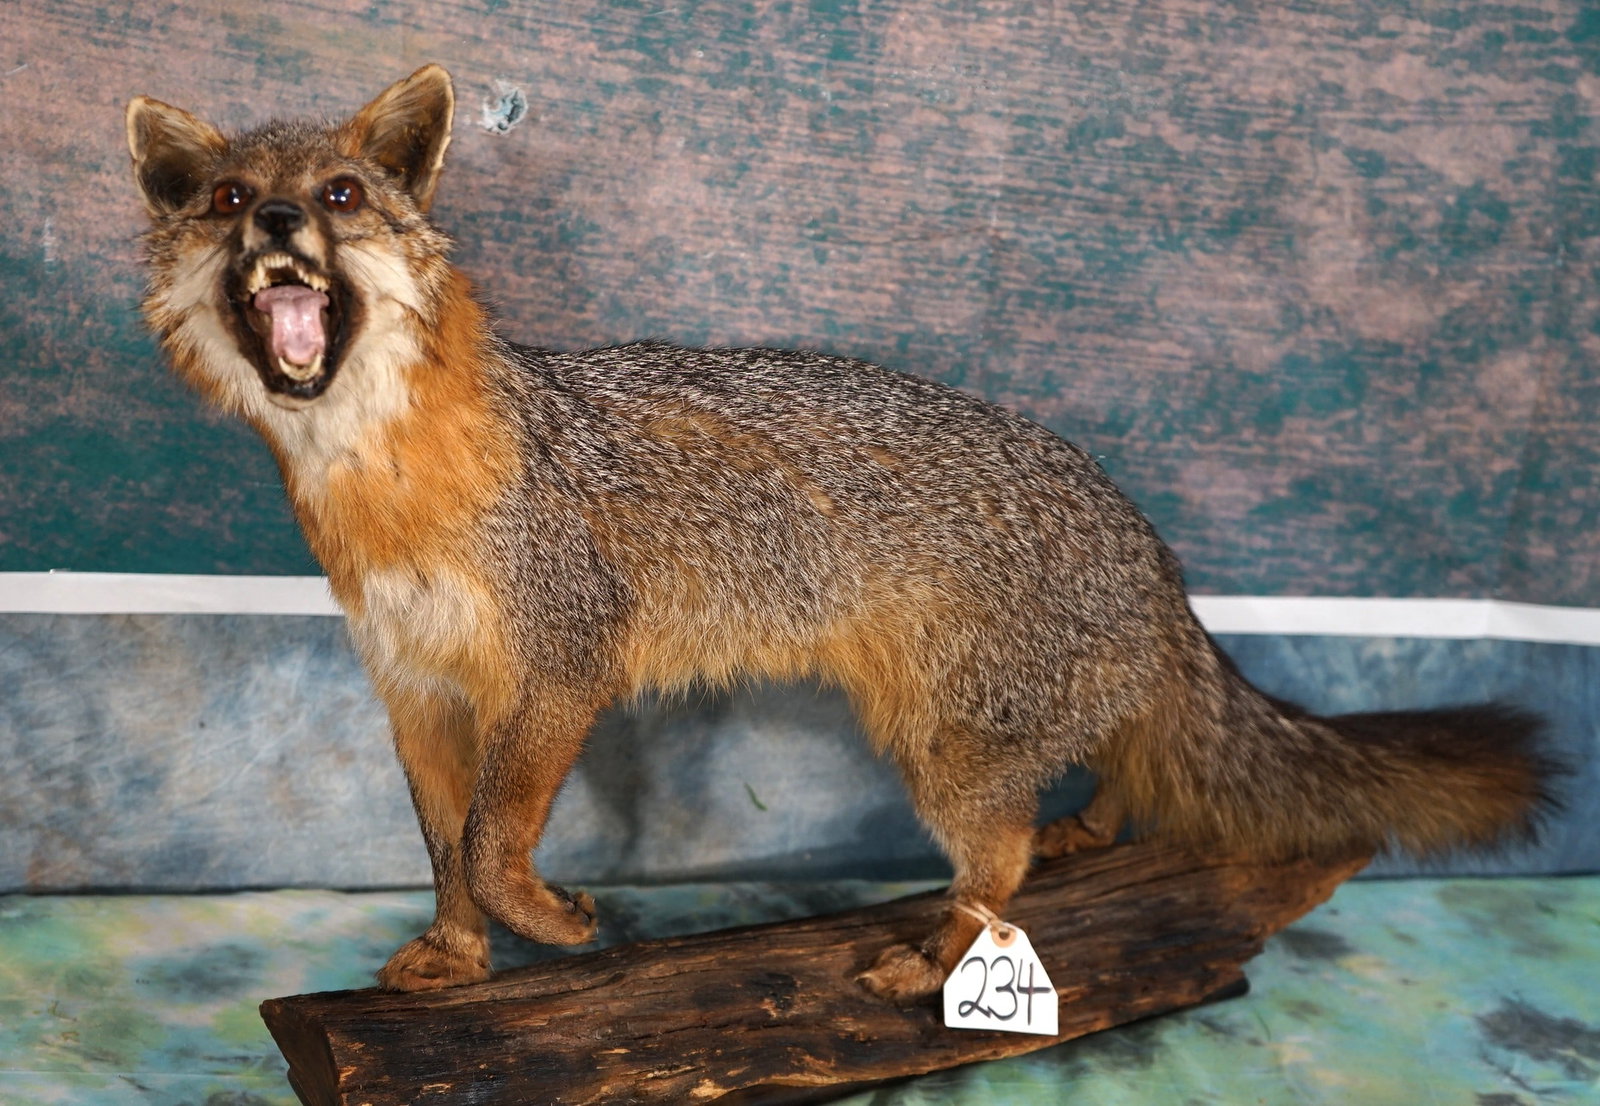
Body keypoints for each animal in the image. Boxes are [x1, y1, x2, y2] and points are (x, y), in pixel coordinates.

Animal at [125, 65, 1557, 1002]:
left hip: (943, 747)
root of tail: (1149, 543)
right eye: (230, 197)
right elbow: (440, 849)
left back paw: (947, 951)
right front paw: (462, 957)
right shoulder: (418, 688)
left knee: (1003, 849)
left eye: (340, 193)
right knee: (1102, 781)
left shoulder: (561, 665)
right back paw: (1087, 839)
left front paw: (553, 918)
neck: (393, 490)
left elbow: (489, 838)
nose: (275, 222)